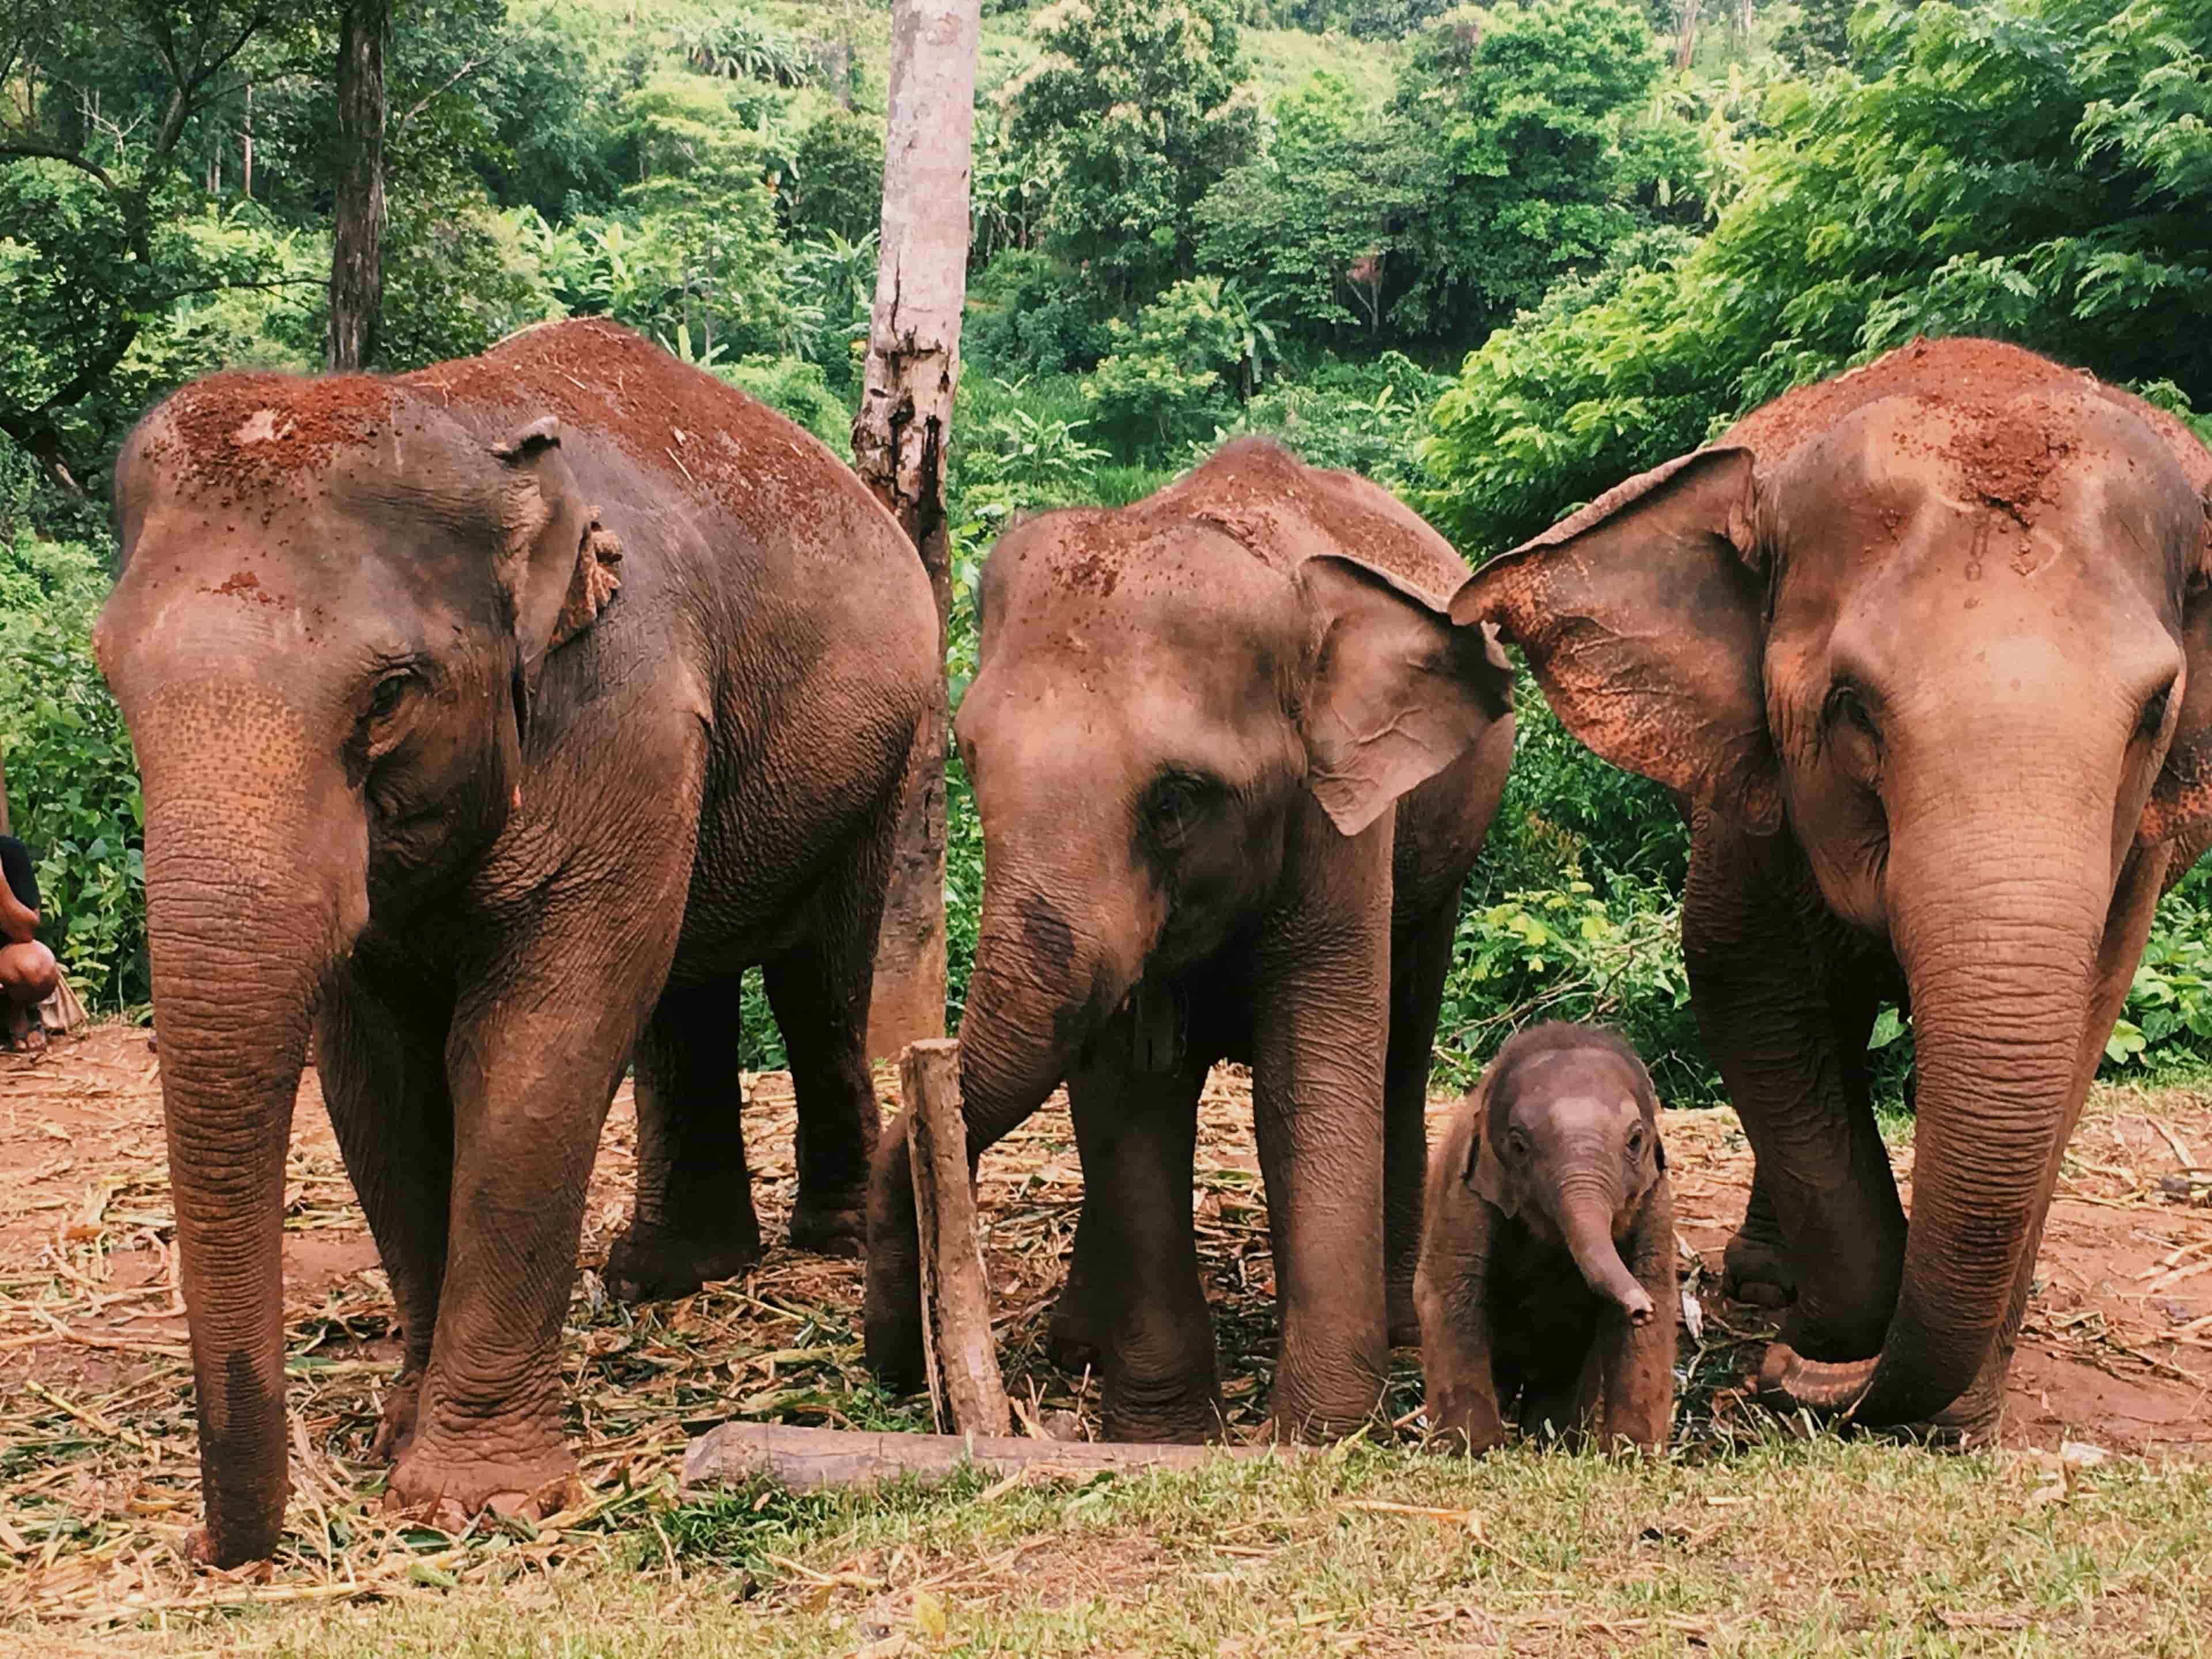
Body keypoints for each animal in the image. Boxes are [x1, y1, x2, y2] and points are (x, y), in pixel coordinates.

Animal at [97, 318, 933, 1566]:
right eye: (111, 677)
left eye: (390, 696)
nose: (217, 1549)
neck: (465, 429)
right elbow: (378, 1078)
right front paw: (399, 1438)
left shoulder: (626, 706)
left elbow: (536, 1045)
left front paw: (475, 1501)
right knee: (683, 992)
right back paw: (665, 1278)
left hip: (889, 749)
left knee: (816, 979)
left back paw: (823, 1241)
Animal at [854, 438, 1513, 1442]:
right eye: (970, 759)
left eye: (1174, 802)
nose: (895, 1369)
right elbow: (1130, 1092)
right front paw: (1167, 1437)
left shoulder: (1340, 824)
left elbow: (1311, 1074)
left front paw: (1318, 1438)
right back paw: (1077, 1349)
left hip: (1445, 851)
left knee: (1402, 1047)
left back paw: (1403, 1325)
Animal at [1451, 338, 2212, 1442]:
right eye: (1851, 706)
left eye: (2155, 711)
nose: (1781, 1375)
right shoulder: (1749, 787)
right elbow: (1746, 984)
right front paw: (1830, 1339)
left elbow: (2085, 1021)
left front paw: (1951, 1402)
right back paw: (1767, 1285)